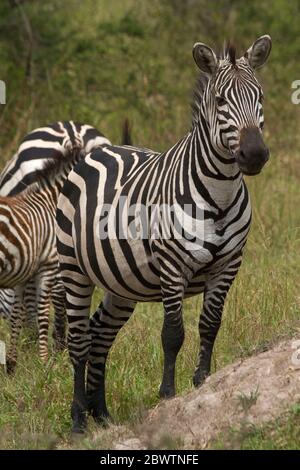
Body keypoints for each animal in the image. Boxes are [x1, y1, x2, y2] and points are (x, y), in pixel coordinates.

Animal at [55, 35, 272, 434]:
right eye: (221, 101)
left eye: (260, 95)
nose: (254, 155)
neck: (220, 193)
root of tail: (106, 148)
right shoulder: (173, 266)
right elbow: (173, 333)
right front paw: (168, 394)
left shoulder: (227, 266)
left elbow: (210, 325)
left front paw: (202, 381)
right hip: (73, 270)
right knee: (79, 341)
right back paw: (78, 419)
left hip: (121, 285)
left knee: (99, 335)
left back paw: (101, 414)